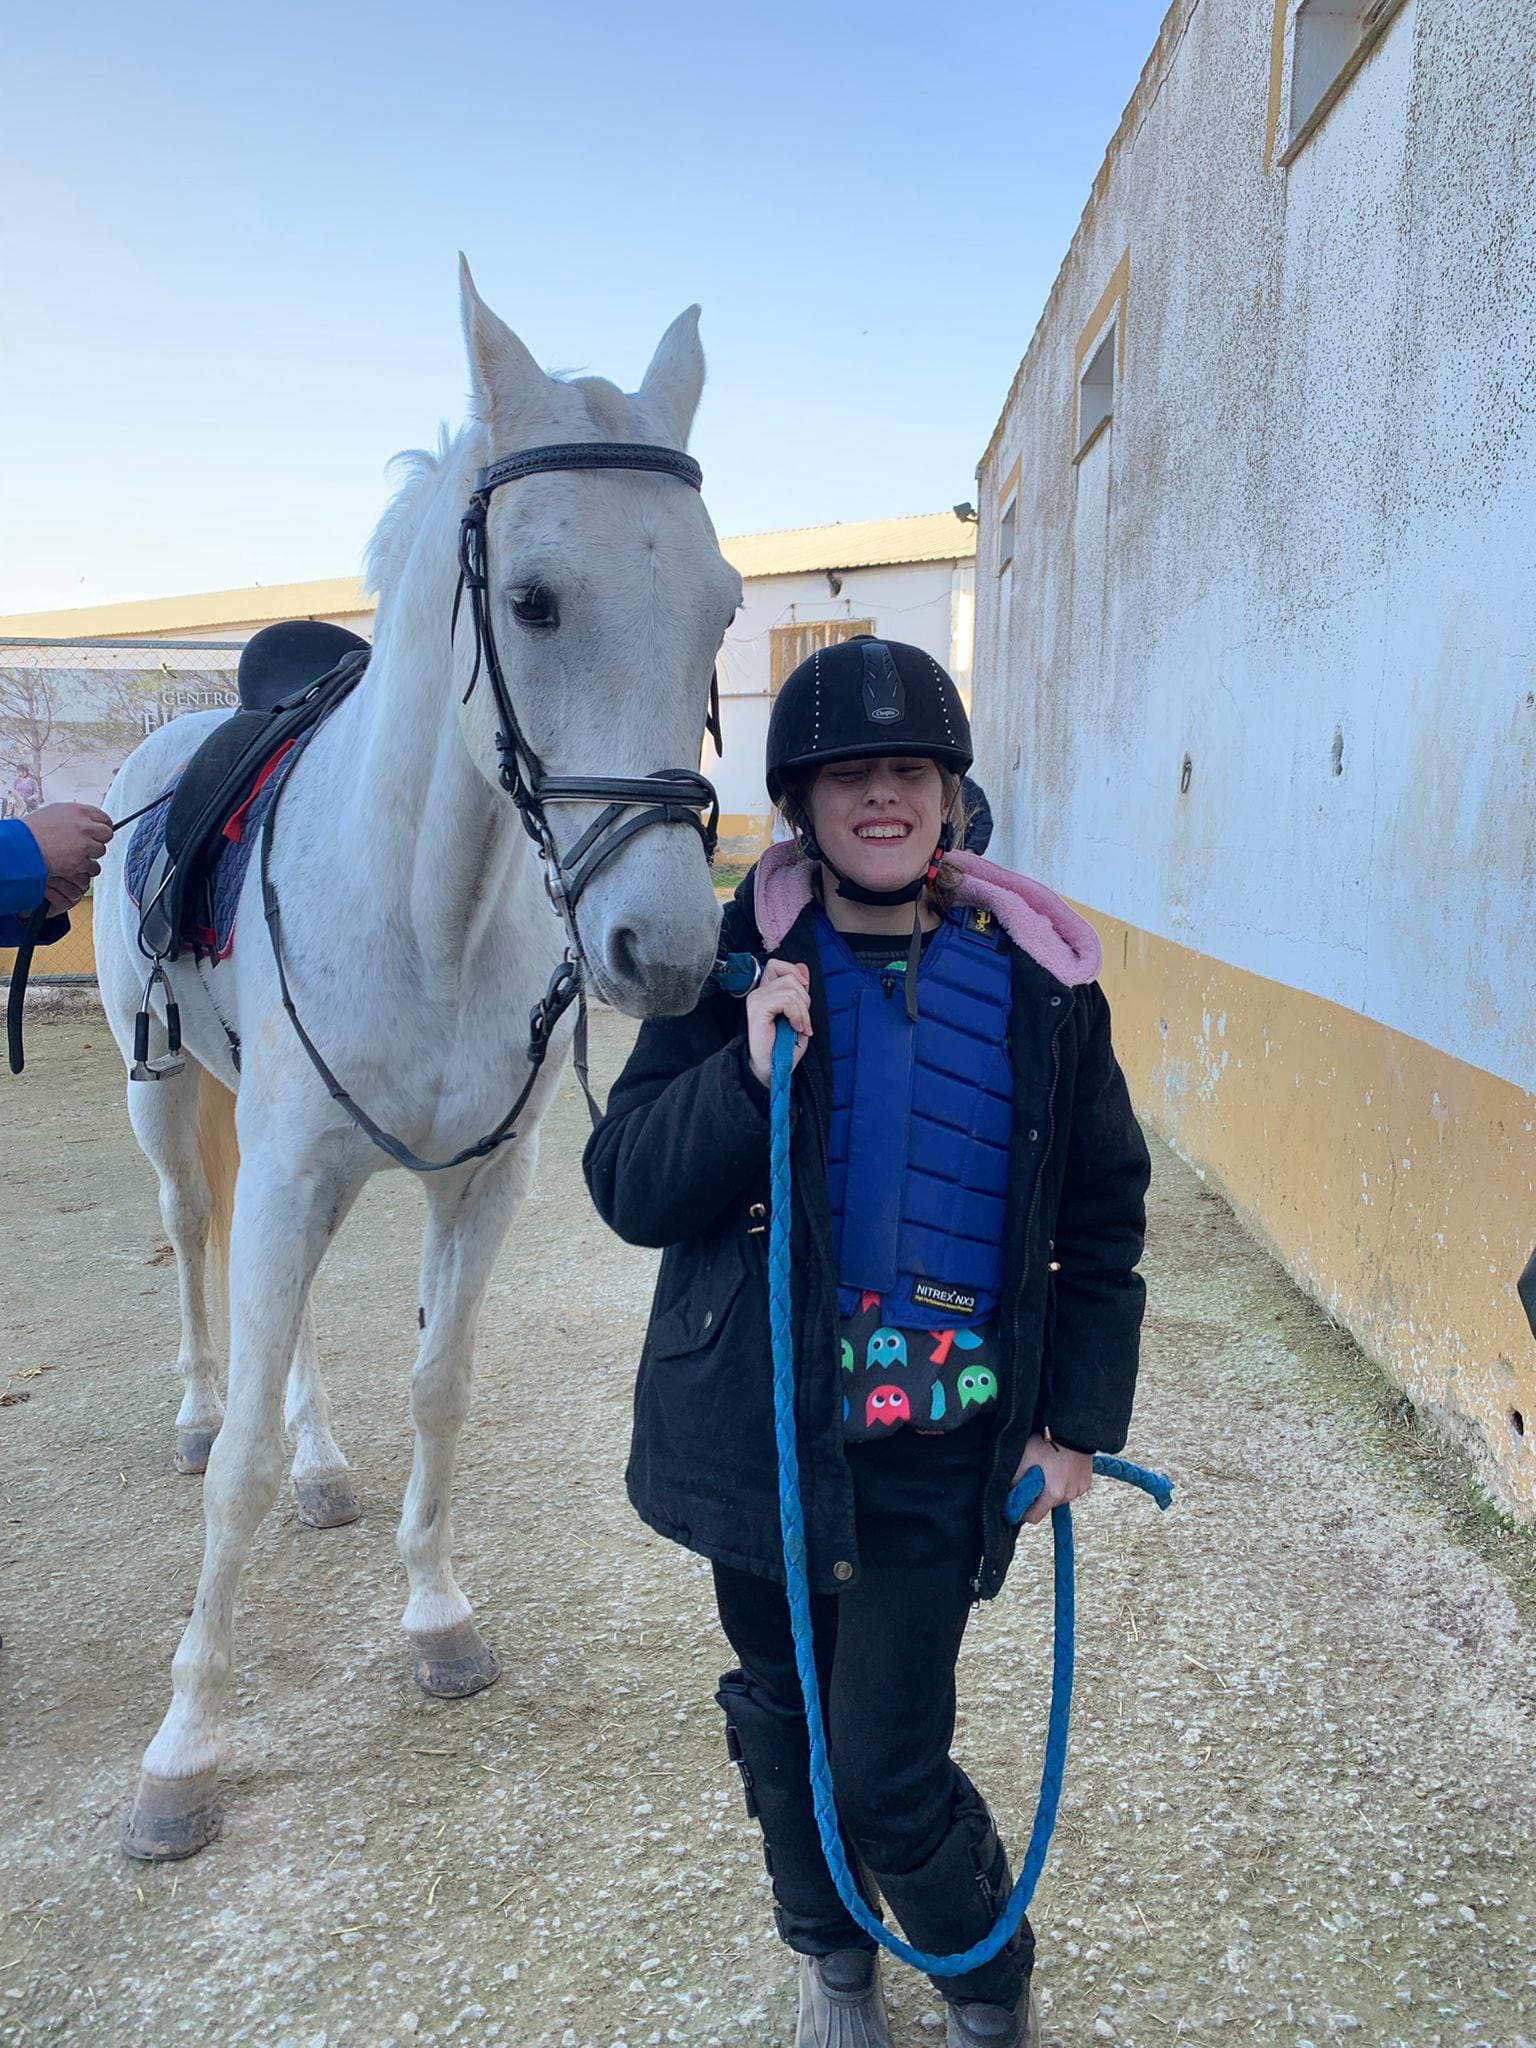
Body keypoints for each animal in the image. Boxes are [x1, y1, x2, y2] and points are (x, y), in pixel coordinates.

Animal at [93, 258, 742, 1860]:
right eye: (532, 599)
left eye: (720, 607)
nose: (668, 950)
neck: (430, 911)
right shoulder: (287, 1173)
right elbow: (241, 1474)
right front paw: (182, 1751)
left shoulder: (481, 1183)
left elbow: (439, 1385)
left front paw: (437, 1617)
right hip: (171, 1104)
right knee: (197, 1259)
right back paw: (198, 1409)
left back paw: (329, 1462)